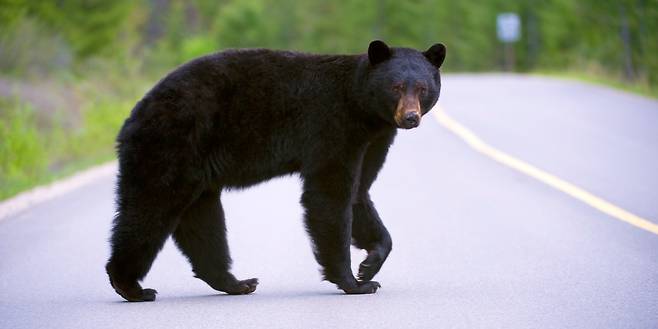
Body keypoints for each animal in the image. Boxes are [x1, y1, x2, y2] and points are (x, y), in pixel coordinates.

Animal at [106, 40, 446, 300]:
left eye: (423, 88)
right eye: (396, 86)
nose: (410, 117)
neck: (362, 108)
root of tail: (132, 116)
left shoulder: (373, 141)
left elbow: (359, 193)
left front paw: (369, 266)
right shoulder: (332, 128)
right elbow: (330, 196)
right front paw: (353, 282)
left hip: (197, 173)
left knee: (202, 223)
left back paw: (237, 283)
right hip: (171, 146)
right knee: (148, 210)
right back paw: (132, 286)